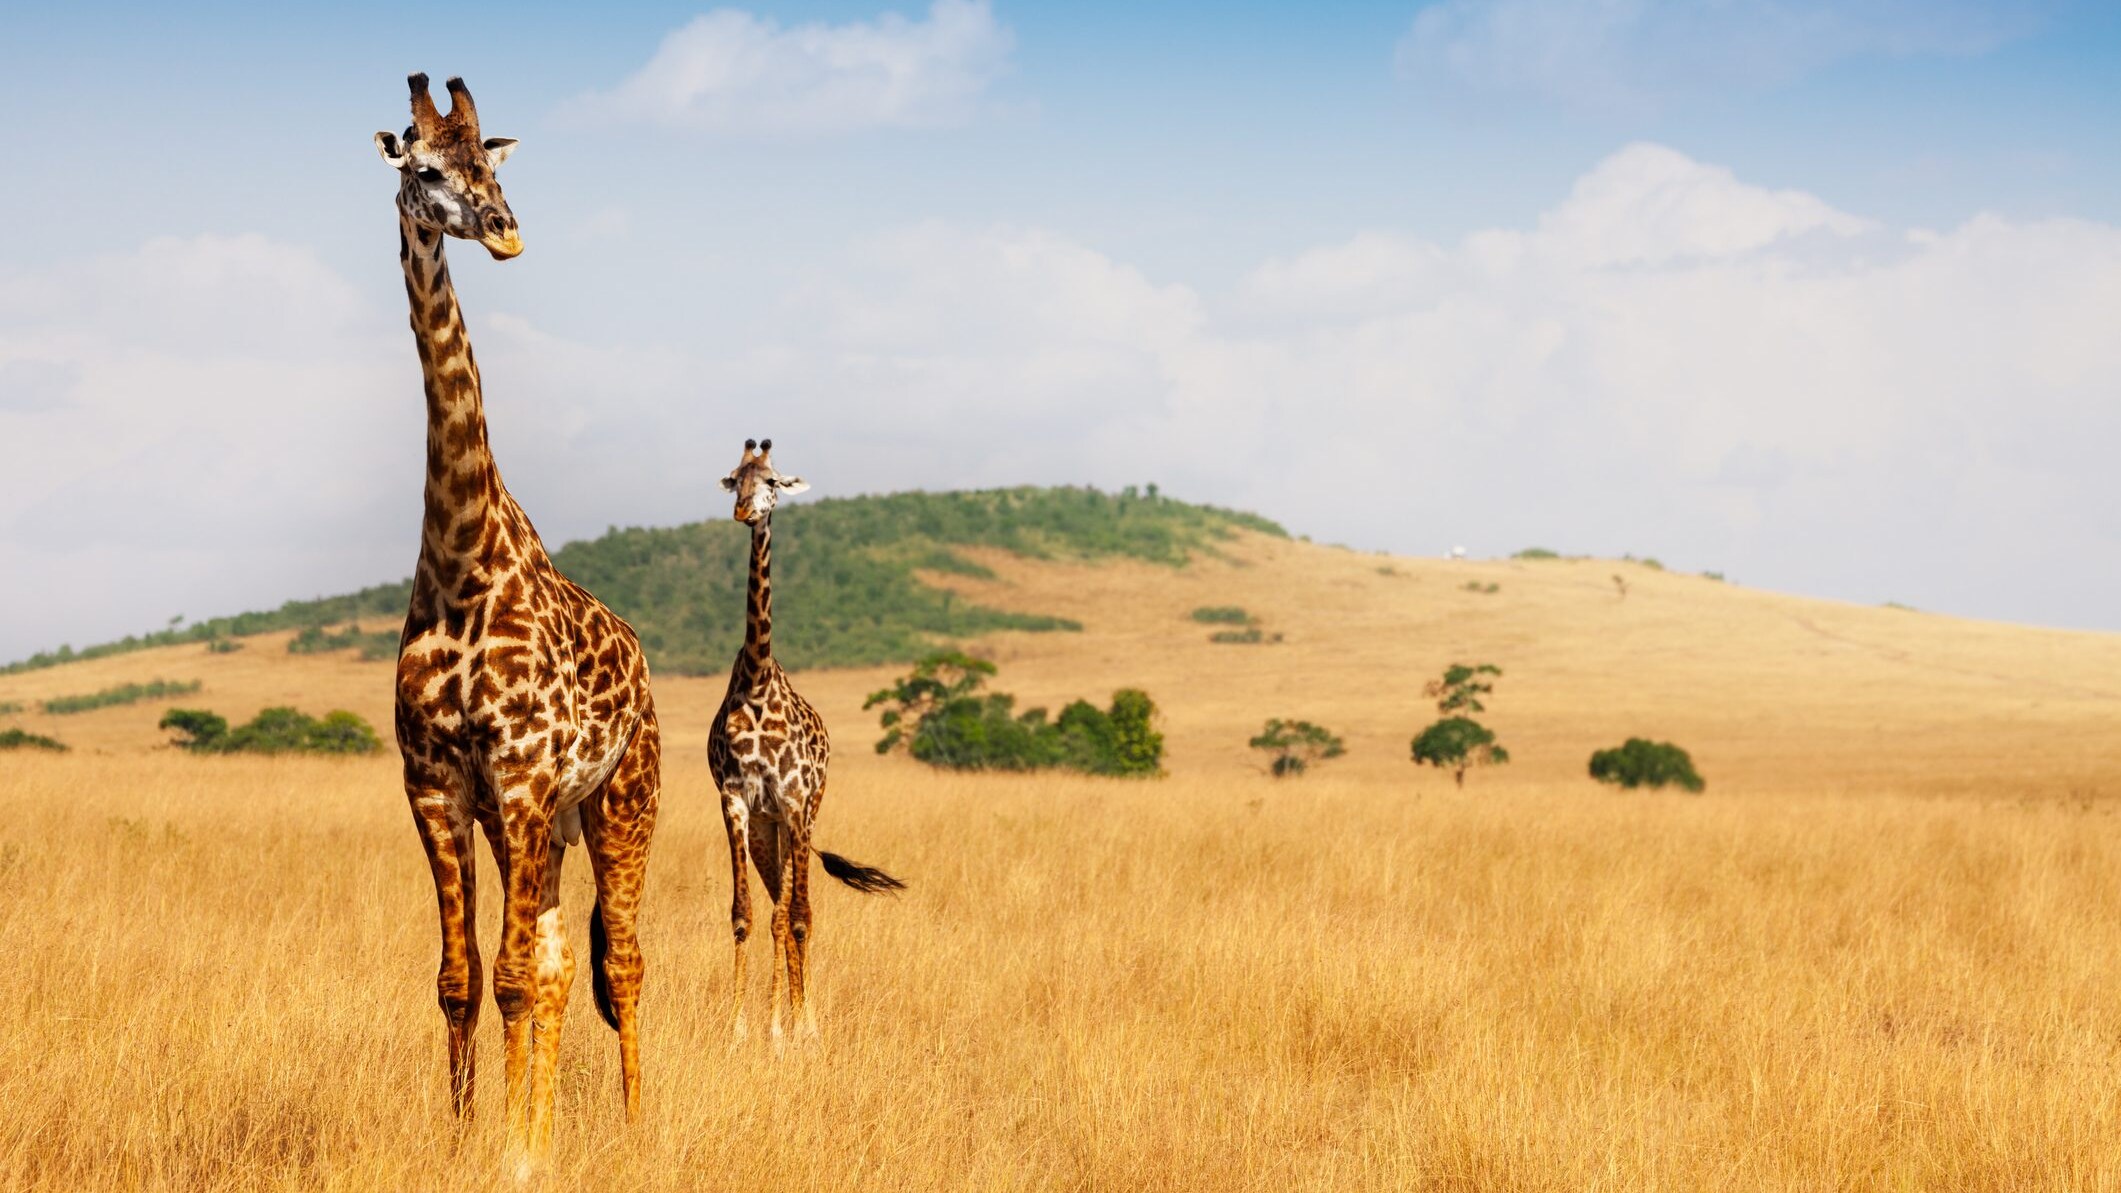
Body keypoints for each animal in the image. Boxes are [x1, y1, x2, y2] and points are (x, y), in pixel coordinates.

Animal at [374, 73, 659, 1171]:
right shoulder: (439, 782)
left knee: (619, 964)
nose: (505, 231)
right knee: (552, 958)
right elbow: (462, 978)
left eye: (489, 164)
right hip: (540, 823)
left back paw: (634, 1126)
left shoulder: (528, 775)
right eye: (423, 167)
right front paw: (470, 1140)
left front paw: (516, 1154)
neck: (461, 554)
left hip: (622, 801)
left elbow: (507, 979)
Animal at [710, 438, 905, 1048]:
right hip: (768, 830)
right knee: (778, 903)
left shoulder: (794, 801)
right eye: (735, 478)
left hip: (805, 815)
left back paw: (801, 1023)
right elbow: (746, 913)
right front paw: (739, 1030)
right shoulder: (736, 802)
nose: (743, 512)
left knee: (799, 911)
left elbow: (793, 917)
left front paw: (791, 1031)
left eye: (773, 481)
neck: (755, 681)